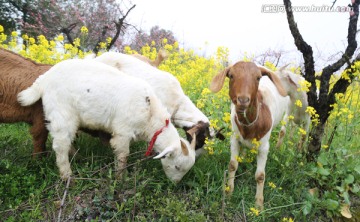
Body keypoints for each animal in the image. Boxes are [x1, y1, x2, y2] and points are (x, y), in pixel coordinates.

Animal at [17, 58, 195, 182]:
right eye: (177, 166)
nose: (174, 183)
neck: (151, 116)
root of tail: (44, 79)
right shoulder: (123, 131)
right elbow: (123, 155)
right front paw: (120, 178)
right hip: (62, 112)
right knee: (60, 146)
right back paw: (67, 176)